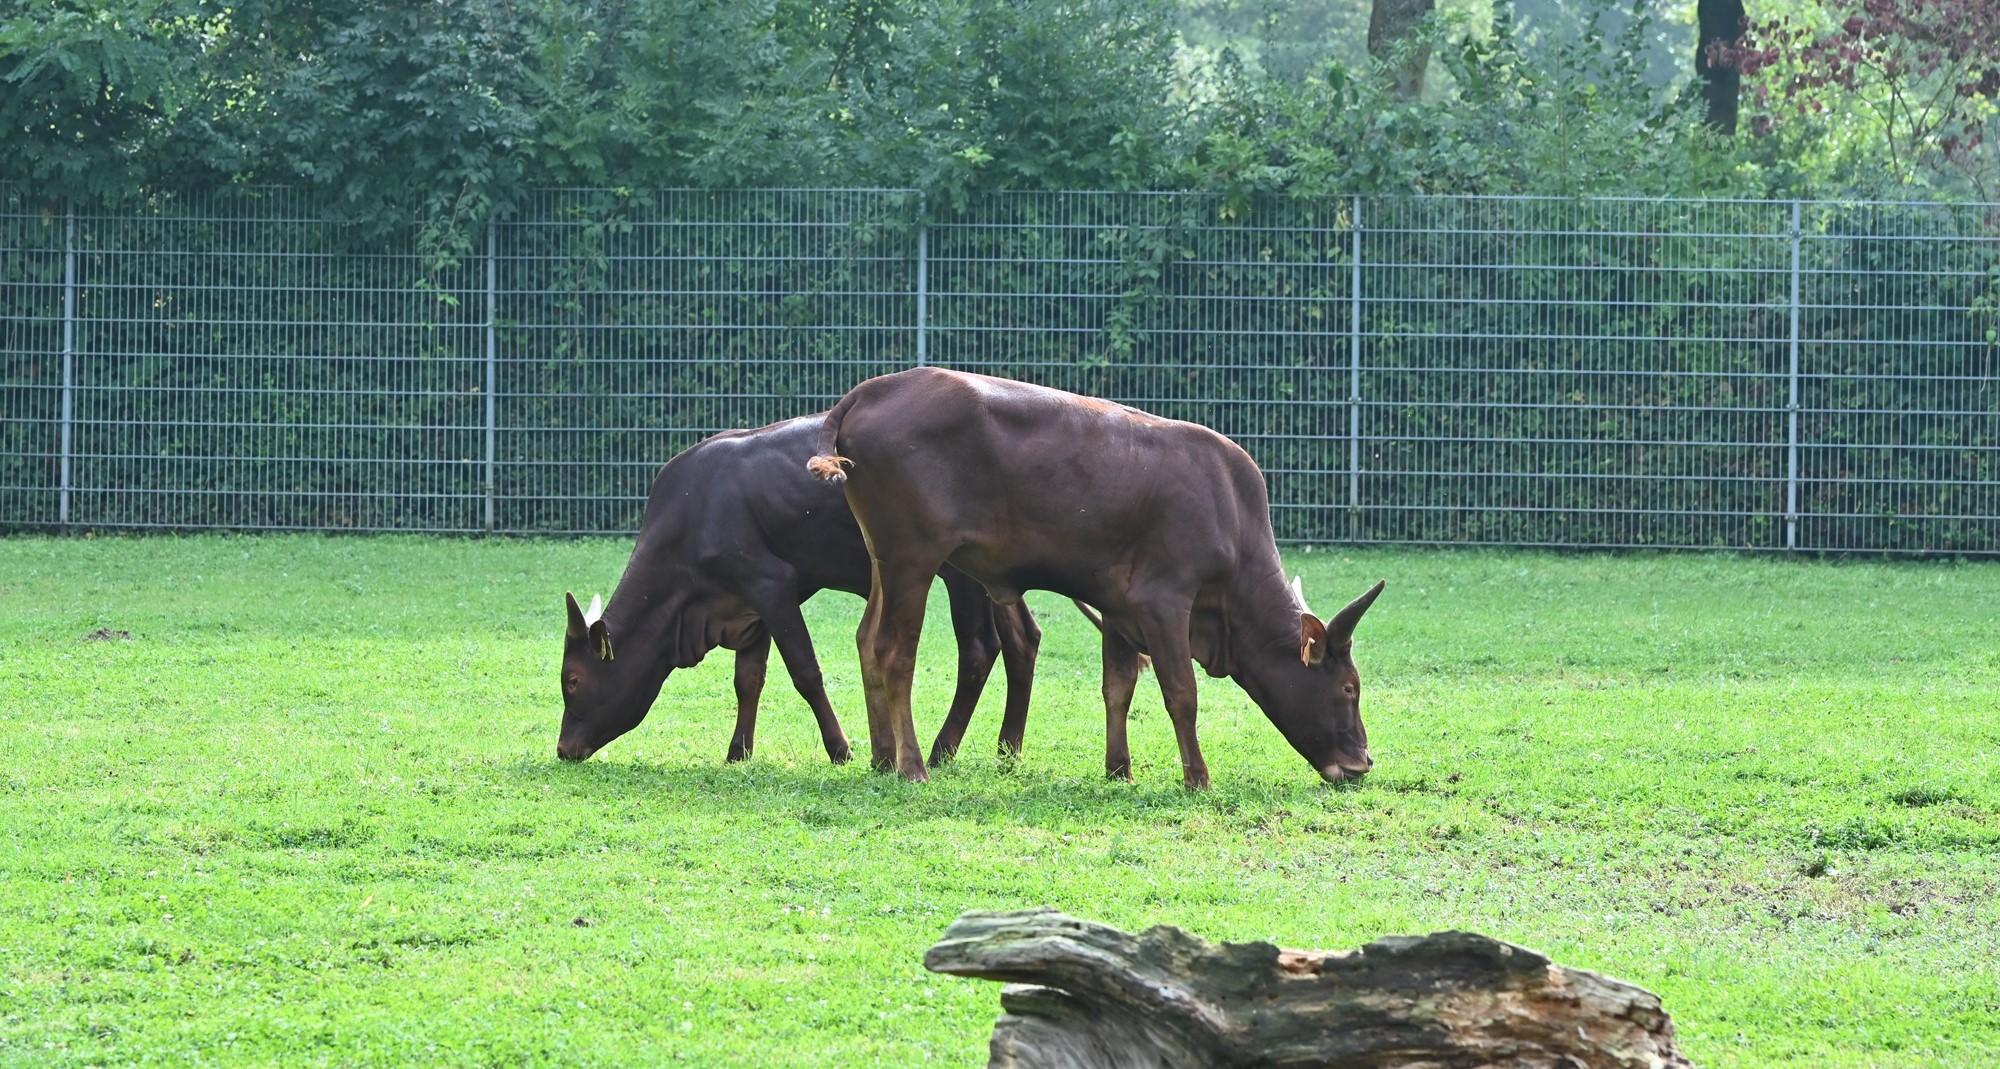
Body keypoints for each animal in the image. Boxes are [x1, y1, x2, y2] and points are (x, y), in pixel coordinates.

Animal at [556, 412, 1040, 772]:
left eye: (573, 680)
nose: (563, 748)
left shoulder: (772, 586)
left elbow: (805, 671)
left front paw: (840, 748)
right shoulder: (748, 607)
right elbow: (748, 679)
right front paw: (738, 751)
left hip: (961, 576)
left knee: (979, 649)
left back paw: (943, 748)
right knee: (1023, 639)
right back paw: (1008, 748)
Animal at [804, 368, 1384, 788]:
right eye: (1348, 688)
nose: (1362, 763)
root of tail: (872, 390)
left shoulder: (1118, 606)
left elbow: (1118, 687)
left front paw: (1119, 770)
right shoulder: (1164, 601)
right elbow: (1182, 691)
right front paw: (1197, 777)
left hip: (885, 561)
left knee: (866, 641)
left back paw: (883, 758)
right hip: (914, 561)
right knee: (894, 653)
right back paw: (912, 765)